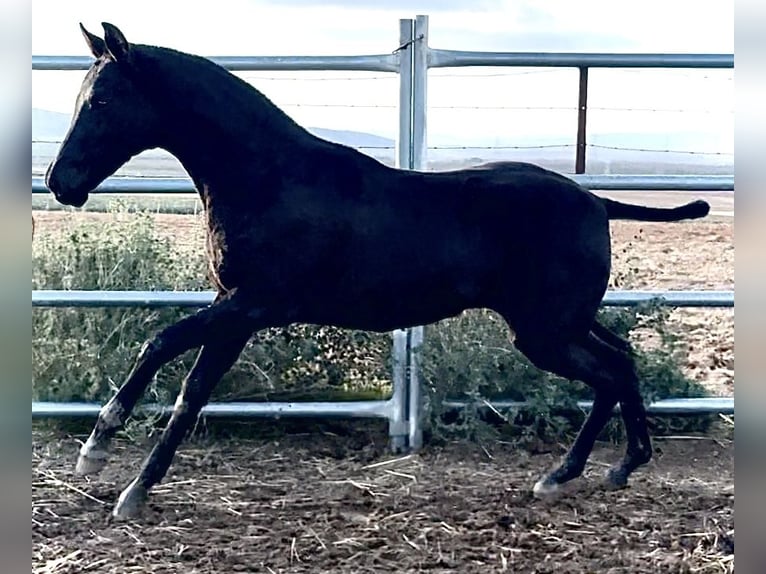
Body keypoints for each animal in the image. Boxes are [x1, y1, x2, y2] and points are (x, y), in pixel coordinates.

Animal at [46, 22, 710, 519]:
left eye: (101, 101)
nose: (60, 181)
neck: (269, 177)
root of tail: (596, 202)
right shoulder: (233, 309)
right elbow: (186, 383)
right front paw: (120, 475)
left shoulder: (254, 303)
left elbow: (167, 353)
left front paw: (105, 462)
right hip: (563, 323)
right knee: (621, 362)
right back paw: (601, 469)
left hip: (545, 331)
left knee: (611, 371)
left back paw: (584, 471)